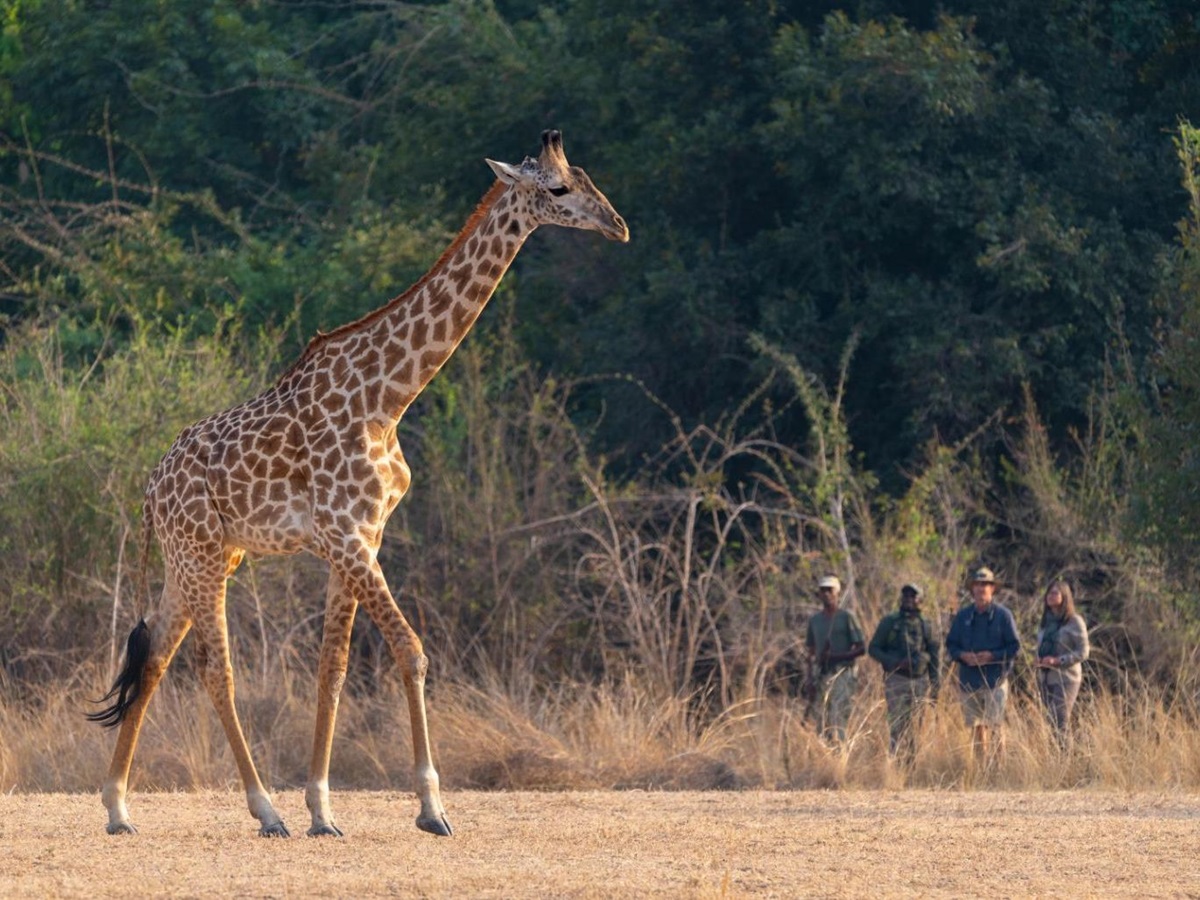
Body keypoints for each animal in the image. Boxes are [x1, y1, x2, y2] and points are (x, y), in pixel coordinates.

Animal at [88, 129, 628, 837]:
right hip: (200, 555)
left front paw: (322, 808)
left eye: (589, 177)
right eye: (560, 188)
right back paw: (263, 810)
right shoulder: (346, 537)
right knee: (213, 669)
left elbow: (333, 668)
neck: (388, 396)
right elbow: (411, 649)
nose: (618, 226)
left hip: (203, 558)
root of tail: (151, 490)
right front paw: (431, 808)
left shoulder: (362, 538)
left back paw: (119, 806)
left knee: (153, 654)